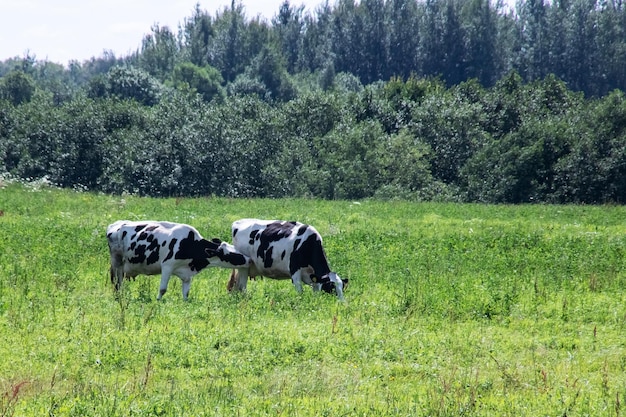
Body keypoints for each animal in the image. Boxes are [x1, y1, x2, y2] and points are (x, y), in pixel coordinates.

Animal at [106, 219, 249, 300]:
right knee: (117, 283)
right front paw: (158, 302)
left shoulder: (186, 274)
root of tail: (115, 224)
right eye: (231, 254)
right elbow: (163, 289)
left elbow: (186, 293)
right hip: (117, 262)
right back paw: (118, 297)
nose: (249, 260)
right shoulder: (167, 266)